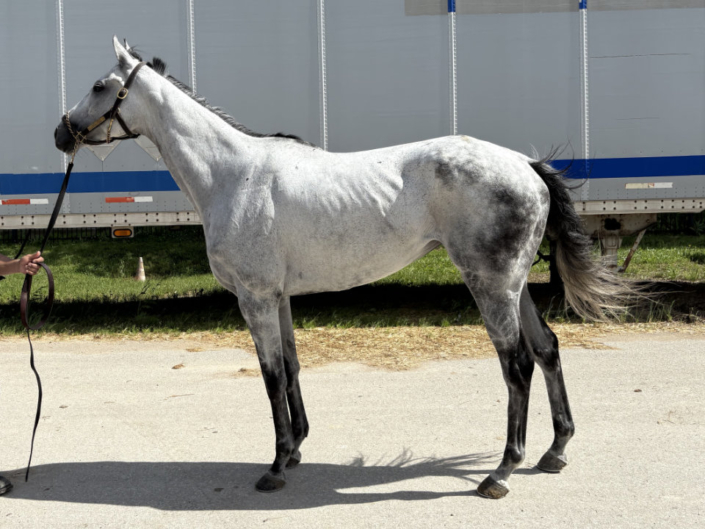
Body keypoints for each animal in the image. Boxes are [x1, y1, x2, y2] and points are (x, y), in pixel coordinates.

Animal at [54, 37, 634, 499]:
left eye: (100, 85)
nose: (62, 134)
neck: (232, 175)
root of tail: (527, 166)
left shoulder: (255, 298)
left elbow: (270, 376)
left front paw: (274, 467)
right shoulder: (278, 298)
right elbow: (290, 368)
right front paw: (295, 451)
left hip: (490, 287)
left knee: (518, 366)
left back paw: (501, 473)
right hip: (514, 287)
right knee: (548, 349)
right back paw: (555, 452)